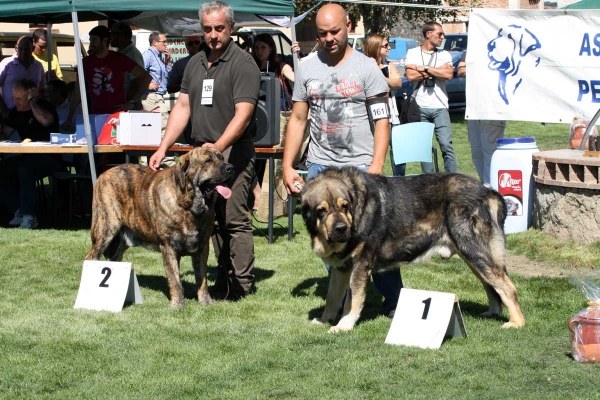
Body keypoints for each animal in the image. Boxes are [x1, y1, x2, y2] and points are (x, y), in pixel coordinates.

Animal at [85, 148, 233, 308]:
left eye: (221, 158)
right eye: (207, 161)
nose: (230, 167)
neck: (188, 206)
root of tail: (104, 174)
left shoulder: (202, 246)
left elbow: (202, 278)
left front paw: (206, 301)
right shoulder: (168, 247)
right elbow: (175, 280)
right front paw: (178, 304)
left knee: (115, 259)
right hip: (105, 230)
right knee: (91, 257)